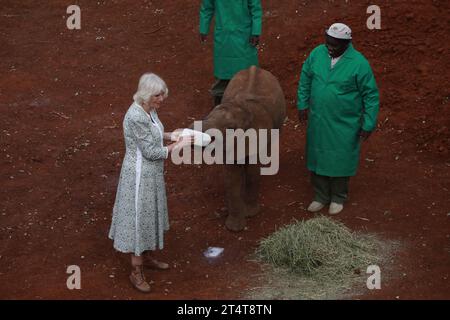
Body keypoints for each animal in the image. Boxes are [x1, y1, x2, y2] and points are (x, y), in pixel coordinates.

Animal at [197, 66, 284, 231]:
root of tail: (254, 67)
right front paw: (234, 228)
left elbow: (252, 171)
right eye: (206, 117)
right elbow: (231, 177)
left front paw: (250, 214)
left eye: (231, 128)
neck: (241, 108)